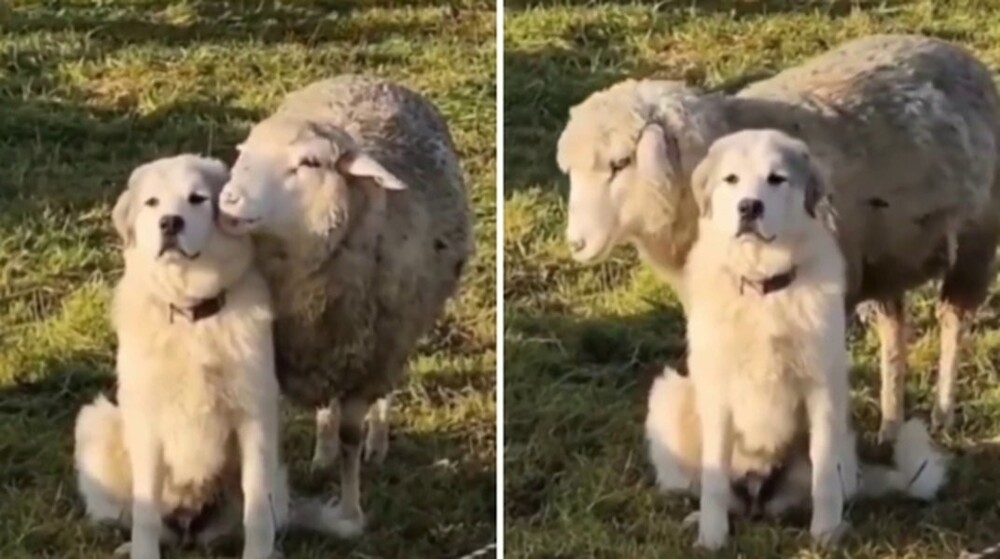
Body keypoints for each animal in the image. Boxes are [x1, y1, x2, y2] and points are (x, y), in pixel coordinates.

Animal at [217, 75, 474, 533]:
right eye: (246, 153)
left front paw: (351, 512)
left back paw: (378, 442)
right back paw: (321, 453)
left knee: (384, 395)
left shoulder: (370, 363)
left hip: (393, 343)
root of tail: (371, 78)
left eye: (310, 163)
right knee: (324, 406)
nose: (228, 200)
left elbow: (350, 439)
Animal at [558, 34, 1000, 442]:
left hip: (975, 239)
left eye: (620, 164)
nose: (576, 244)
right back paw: (890, 426)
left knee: (952, 319)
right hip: (885, 257)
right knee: (893, 329)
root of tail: (953, 50)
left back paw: (943, 412)